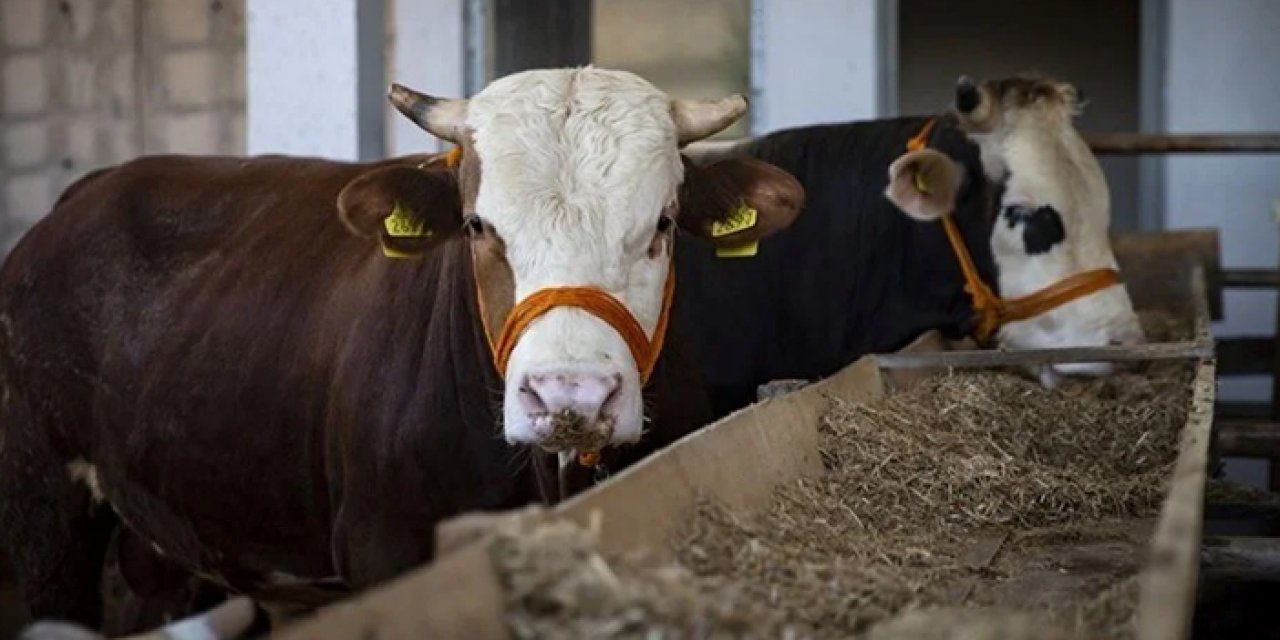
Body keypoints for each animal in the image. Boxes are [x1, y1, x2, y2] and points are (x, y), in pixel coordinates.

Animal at [0, 66, 798, 629]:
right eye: (478, 226)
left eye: (662, 222)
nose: (570, 395)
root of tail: (88, 191)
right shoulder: (385, 548)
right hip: (42, 523)